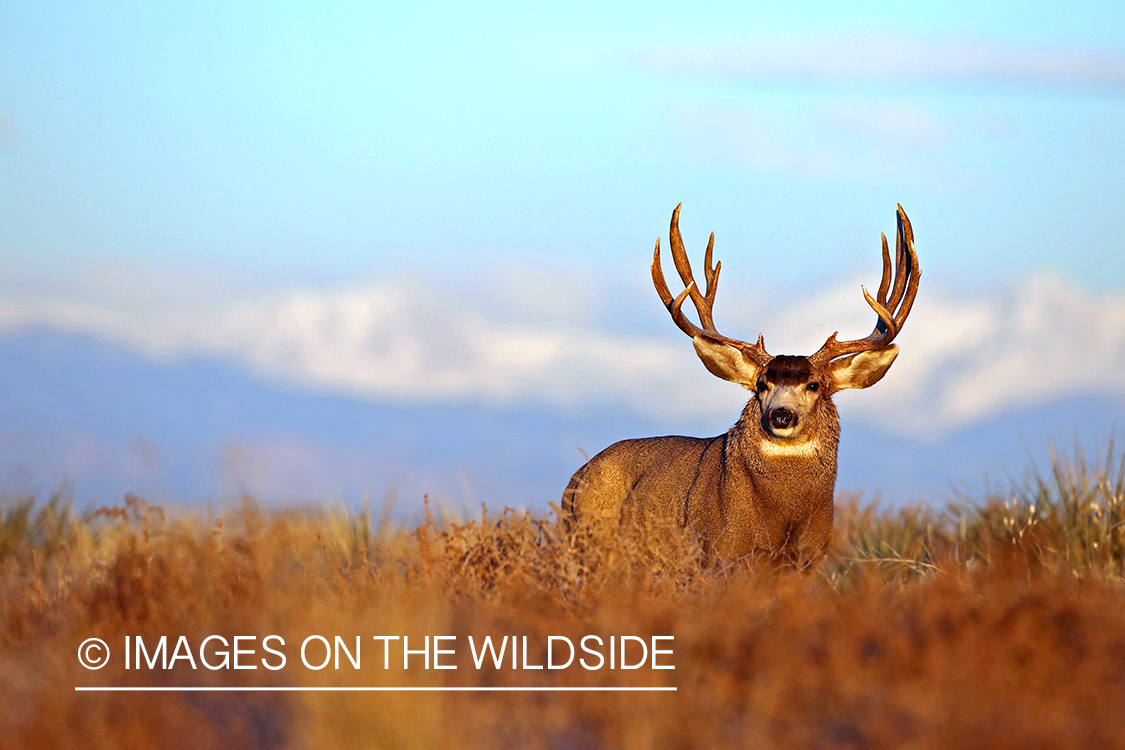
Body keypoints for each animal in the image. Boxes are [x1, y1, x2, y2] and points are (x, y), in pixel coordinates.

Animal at [562, 202, 922, 566]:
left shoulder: (809, 558)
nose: (781, 415)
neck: (782, 522)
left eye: (814, 384)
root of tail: (577, 477)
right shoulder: (720, 550)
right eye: (761, 384)